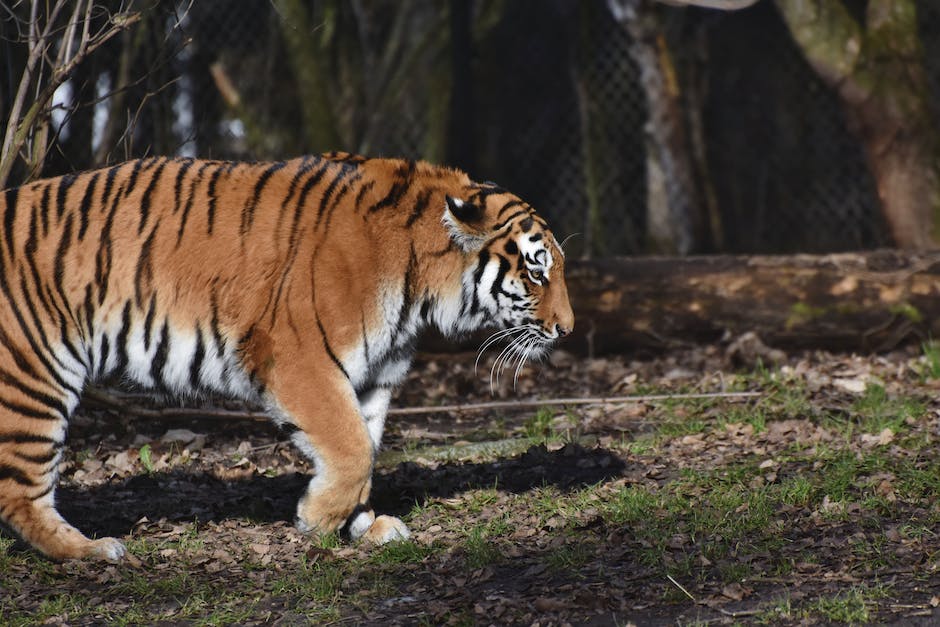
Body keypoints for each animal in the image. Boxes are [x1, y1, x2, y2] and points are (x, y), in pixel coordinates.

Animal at [0, 153, 572, 564]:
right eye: (537, 271)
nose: (566, 329)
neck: (420, 286)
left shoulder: (373, 377)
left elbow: (364, 449)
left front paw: (363, 526)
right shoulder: (301, 361)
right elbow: (351, 449)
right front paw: (316, 520)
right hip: (36, 377)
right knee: (20, 490)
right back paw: (92, 550)